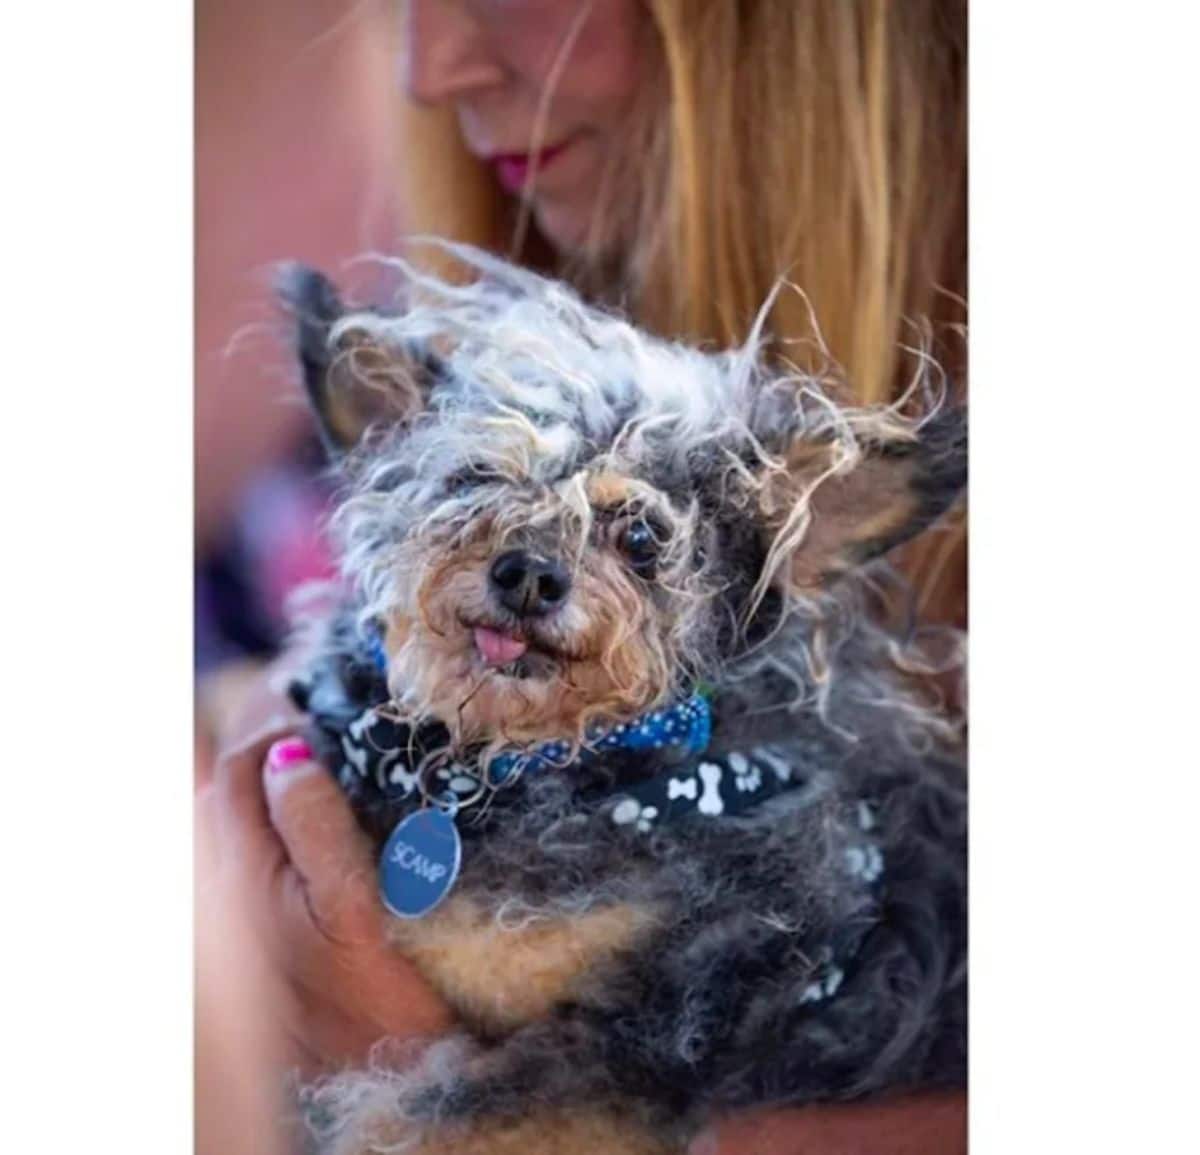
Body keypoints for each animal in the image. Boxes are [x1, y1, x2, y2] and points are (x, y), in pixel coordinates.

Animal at [278, 244, 964, 1152]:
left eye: (640, 537)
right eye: (473, 480)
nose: (529, 573)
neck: (518, 768)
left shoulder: (676, 1030)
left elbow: (431, 1110)